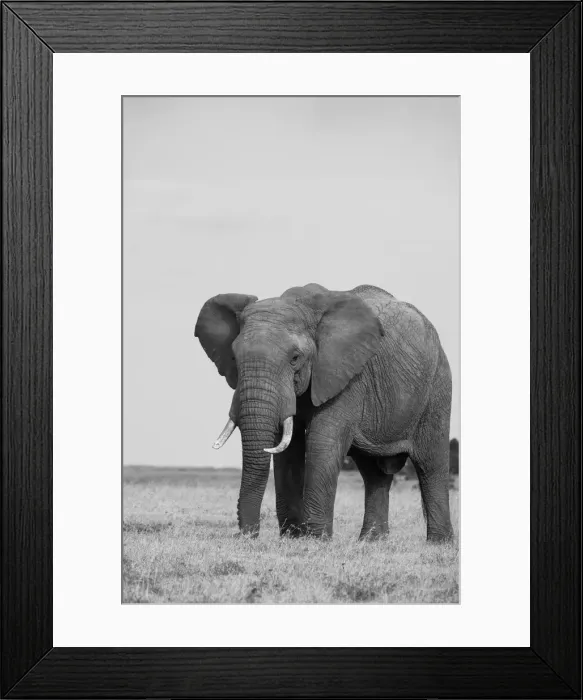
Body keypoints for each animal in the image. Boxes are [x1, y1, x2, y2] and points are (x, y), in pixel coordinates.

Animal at [195, 283, 453, 542]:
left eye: (295, 358)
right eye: (234, 357)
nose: (247, 535)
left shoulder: (345, 374)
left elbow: (323, 441)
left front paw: (315, 540)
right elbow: (288, 448)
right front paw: (293, 538)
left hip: (438, 386)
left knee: (431, 465)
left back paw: (438, 544)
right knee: (374, 473)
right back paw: (371, 542)